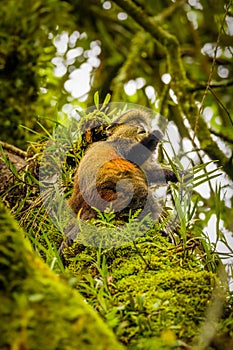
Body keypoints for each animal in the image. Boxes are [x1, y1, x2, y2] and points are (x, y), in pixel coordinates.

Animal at [59, 108, 179, 256]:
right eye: (134, 123)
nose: (141, 128)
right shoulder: (123, 144)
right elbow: (134, 157)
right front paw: (156, 135)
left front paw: (175, 174)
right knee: (140, 193)